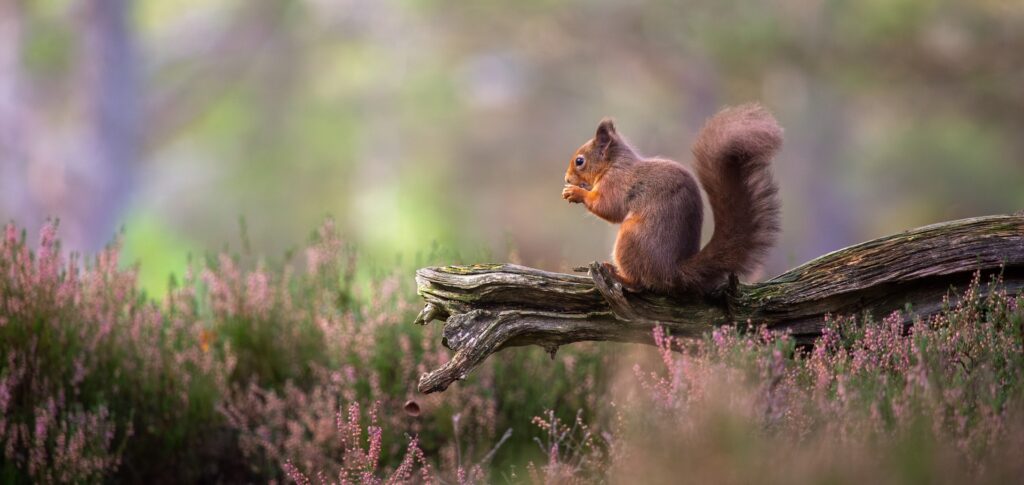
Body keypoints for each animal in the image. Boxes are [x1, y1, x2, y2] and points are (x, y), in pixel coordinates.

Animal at [565, 103, 778, 292]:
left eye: (579, 161)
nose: (566, 178)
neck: (613, 164)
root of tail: (671, 271)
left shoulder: (616, 183)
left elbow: (609, 207)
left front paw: (575, 192)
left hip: (631, 237)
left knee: (639, 281)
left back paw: (617, 274)